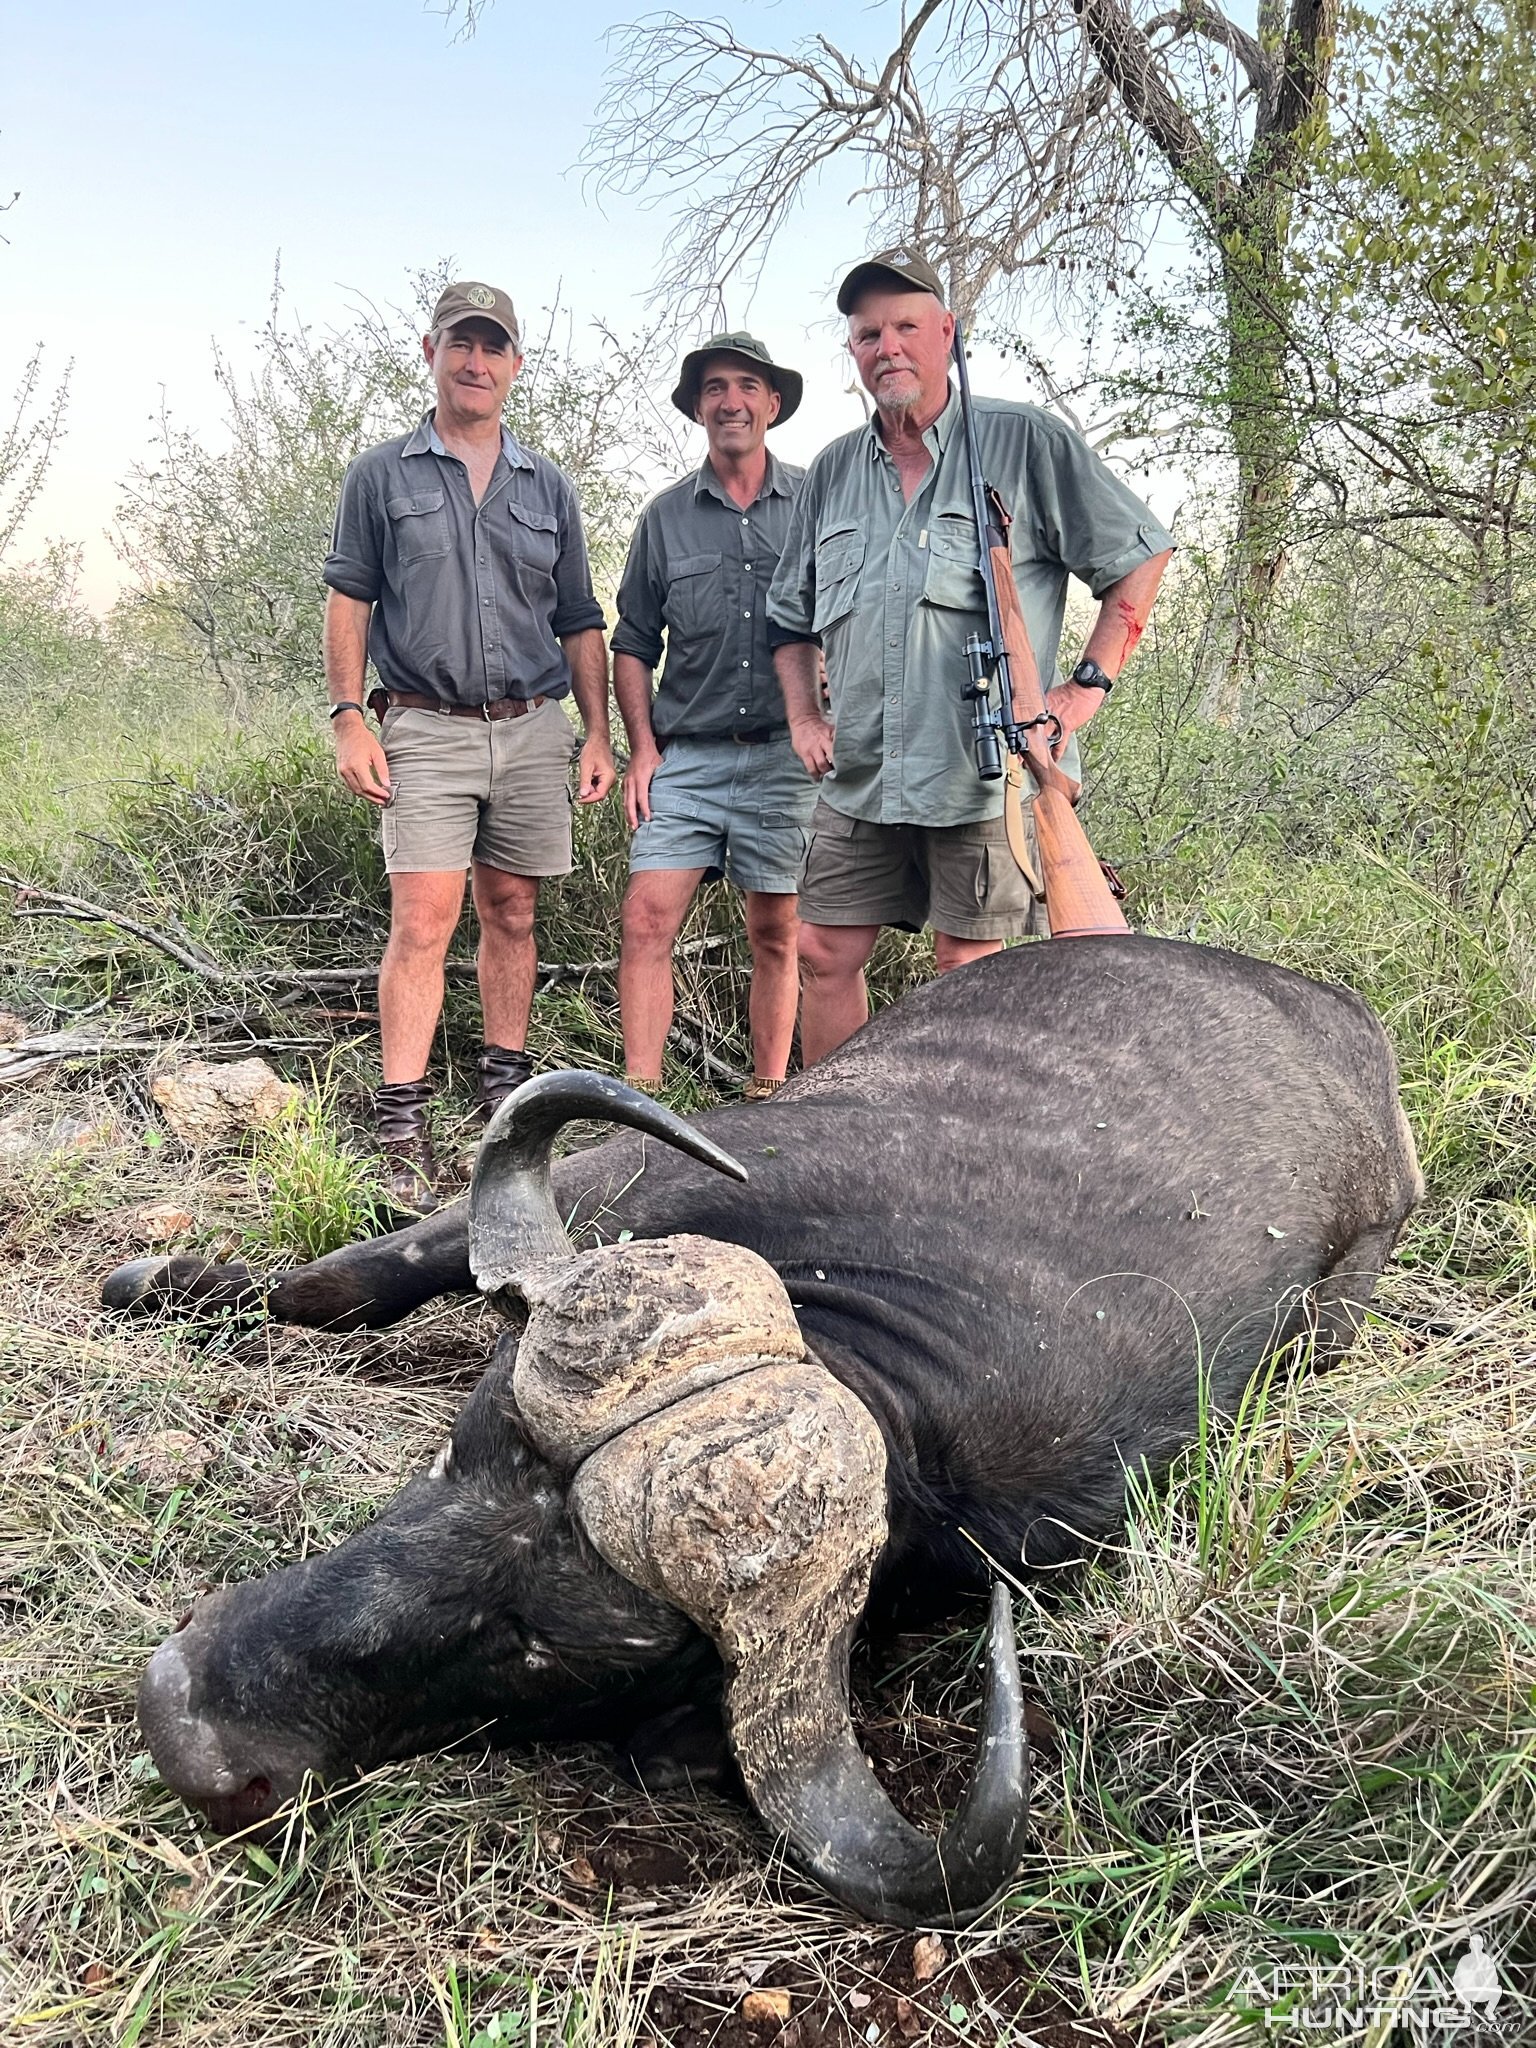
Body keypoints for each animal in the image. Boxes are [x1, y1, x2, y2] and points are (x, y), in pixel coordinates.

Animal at [111, 937, 1433, 1925]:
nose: (182, 1723)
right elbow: (341, 1281)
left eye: (530, 1643)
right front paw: (166, 1280)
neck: (889, 1328)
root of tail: (1335, 1013)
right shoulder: (603, 1181)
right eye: (454, 1455)